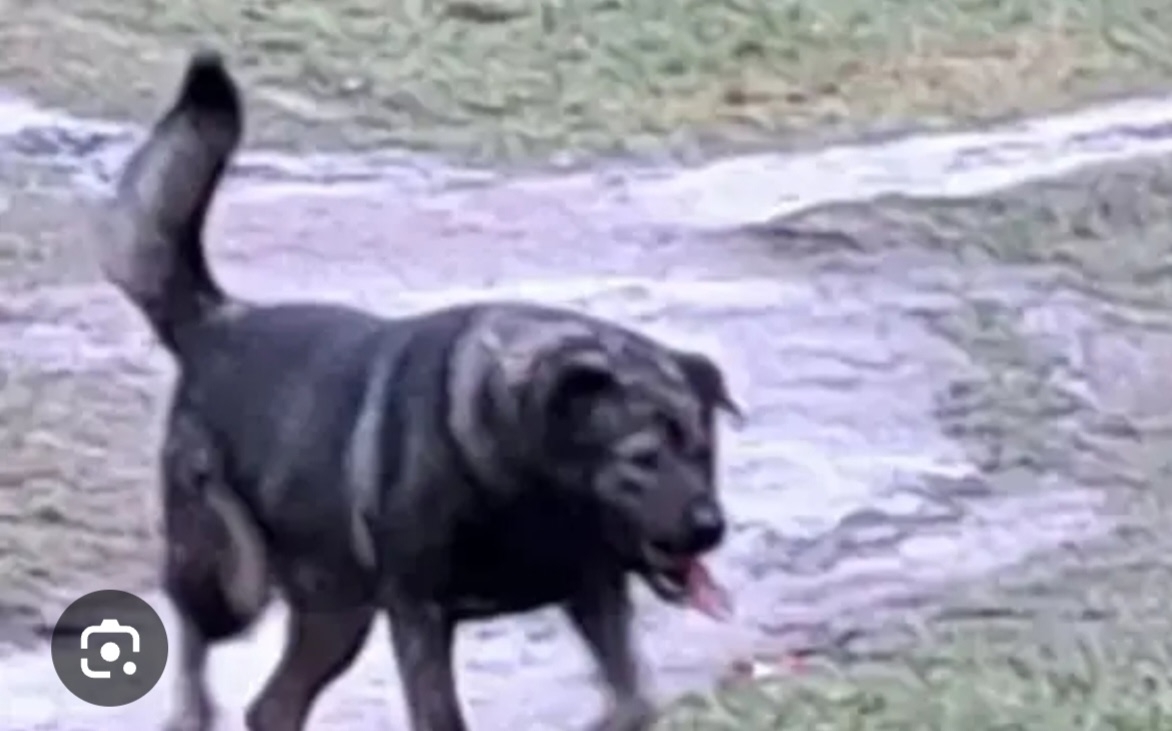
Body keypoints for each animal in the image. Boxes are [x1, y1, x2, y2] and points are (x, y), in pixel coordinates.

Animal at [98, 50, 739, 731]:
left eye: (704, 454)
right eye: (643, 459)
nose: (711, 528)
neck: (525, 474)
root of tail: (215, 322)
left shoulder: (593, 590)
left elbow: (634, 699)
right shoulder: (420, 613)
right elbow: (444, 714)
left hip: (338, 614)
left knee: (272, 706)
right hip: (235, 577)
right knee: (195, 632)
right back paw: (192, 710)